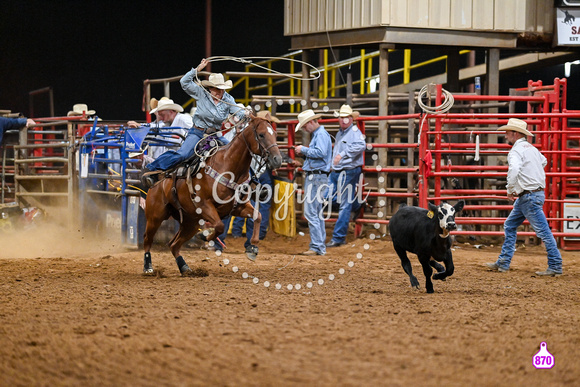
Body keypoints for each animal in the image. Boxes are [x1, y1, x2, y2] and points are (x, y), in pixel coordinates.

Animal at [143, 116, 284, 276]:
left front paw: (252, 248)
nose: (277, 159)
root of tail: (159, 181)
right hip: (155, 217)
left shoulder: (238, 207)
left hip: (191, 222)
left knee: (173, 244)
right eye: (261, 135)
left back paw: (185, 267)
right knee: (148, 240)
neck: (228, 167)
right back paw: (148, 267)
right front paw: (205, 235)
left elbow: (257, 216)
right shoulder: (204, 205)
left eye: (274, 134)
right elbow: (220, 226)